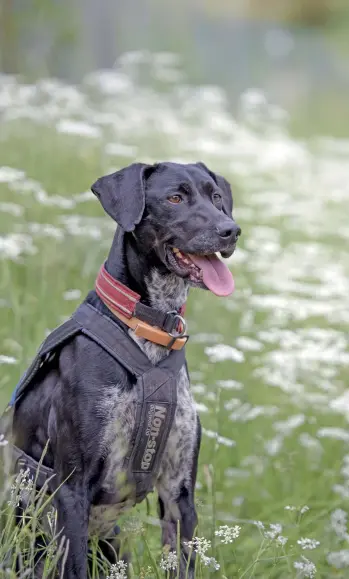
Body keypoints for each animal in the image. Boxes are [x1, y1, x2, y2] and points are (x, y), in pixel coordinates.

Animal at [10, 161, 239, 576]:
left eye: (216, 197)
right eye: (175, 198)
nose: (231, 230)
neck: (149, 328)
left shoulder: (179, 493)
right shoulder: (72, 490)